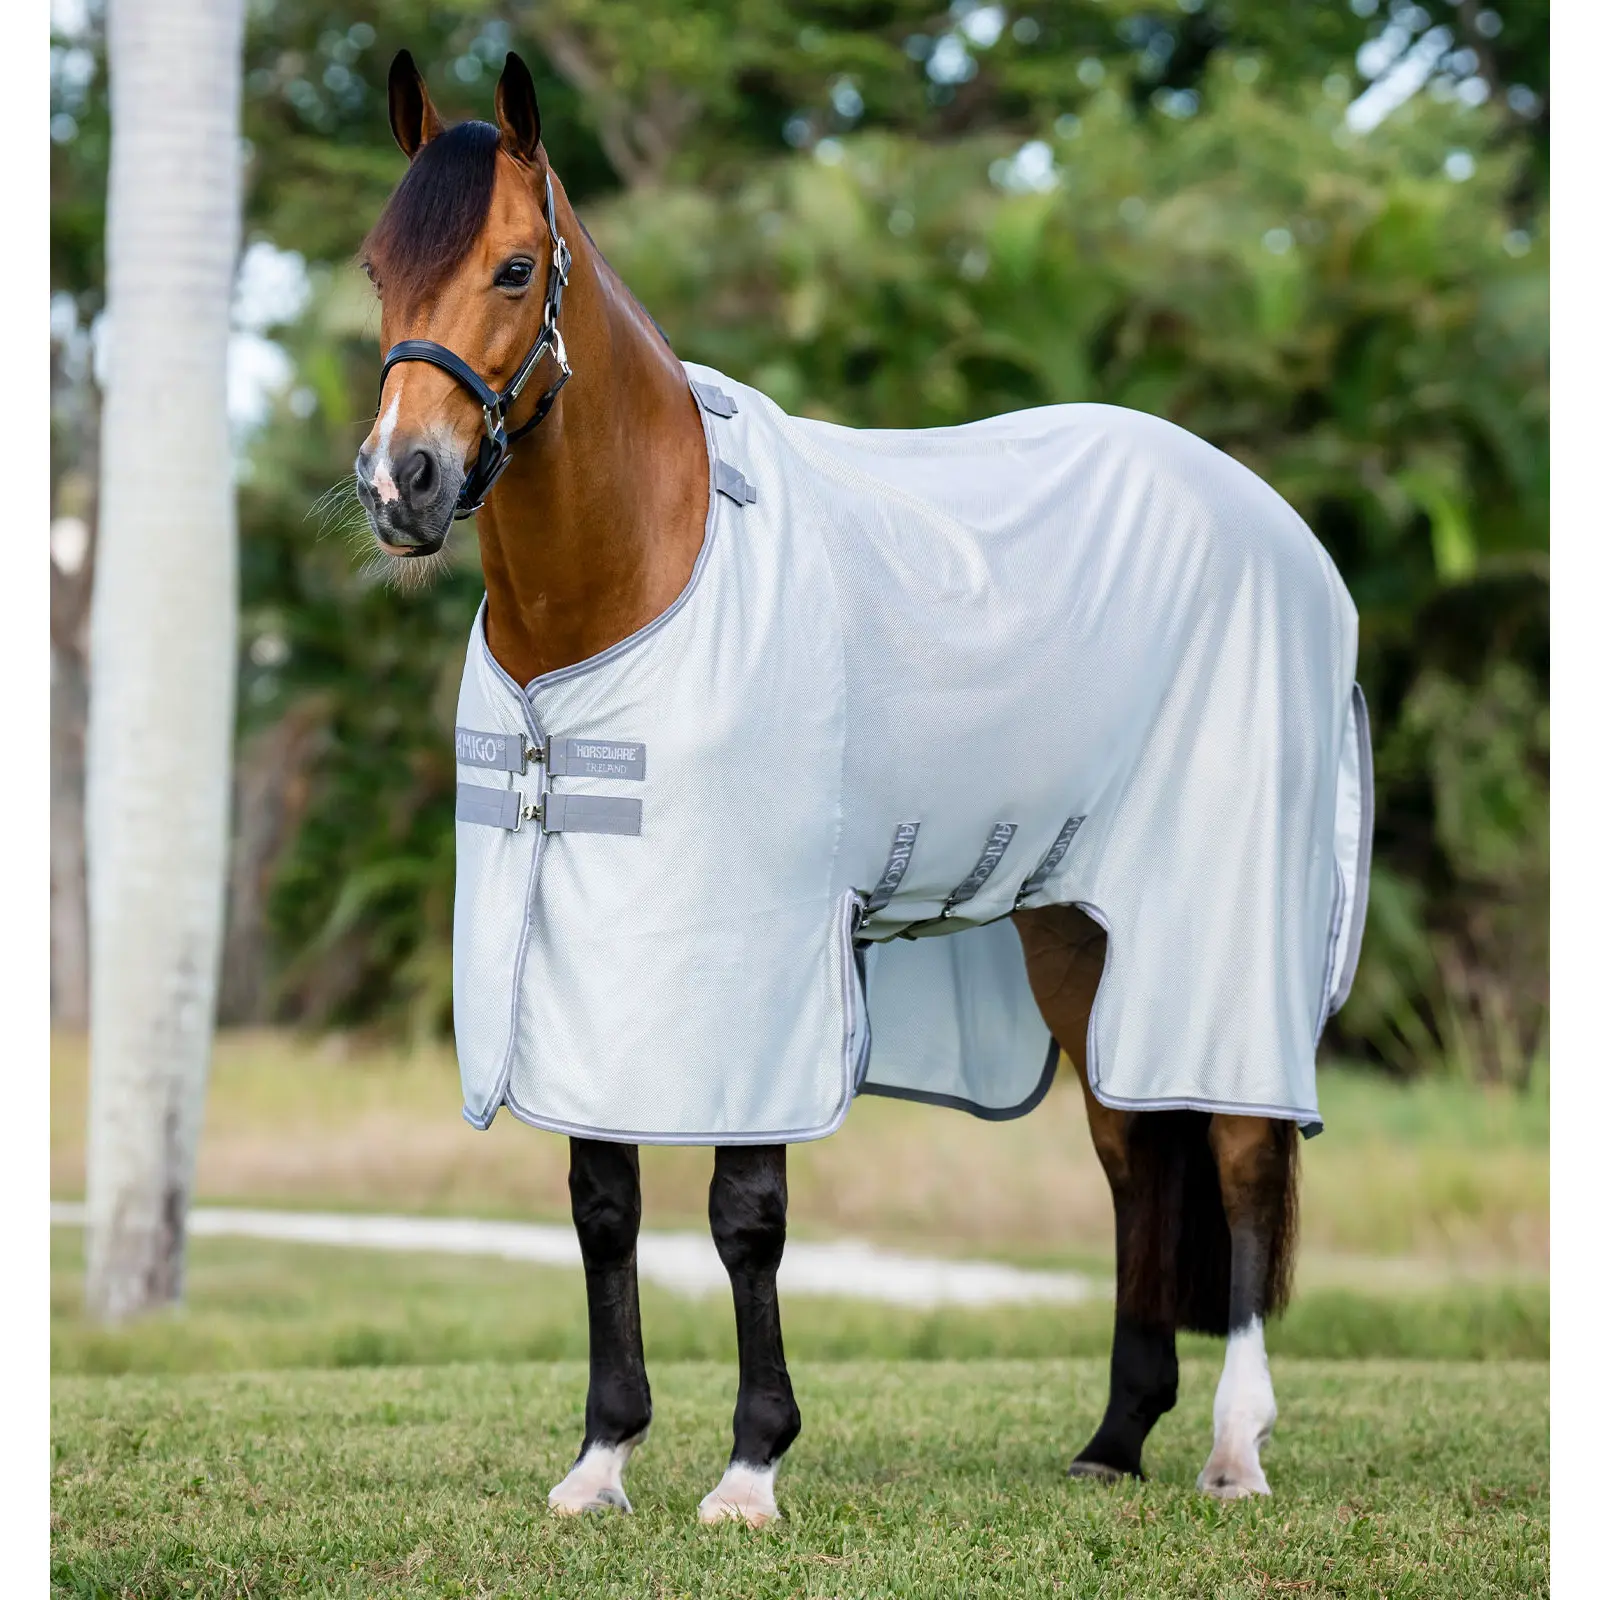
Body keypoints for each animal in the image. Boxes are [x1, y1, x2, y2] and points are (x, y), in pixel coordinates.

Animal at [353, 49, 1327, 1524]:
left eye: (515, 268)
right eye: (375, 269)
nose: (399, 482)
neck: (642, 573)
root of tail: (1268, 516)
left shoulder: (757, 956)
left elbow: (744, 1217)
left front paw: (752, 1466)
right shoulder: (590, 945)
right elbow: (602, 1204)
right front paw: (601, 1459)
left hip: (1222, 922)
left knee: (1242, 1149)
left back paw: (1232, 1446)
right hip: (1076, 925)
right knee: (1131, 1154)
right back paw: (1114, 1437)